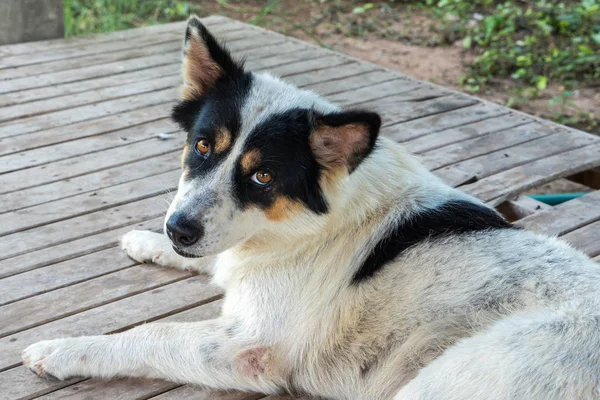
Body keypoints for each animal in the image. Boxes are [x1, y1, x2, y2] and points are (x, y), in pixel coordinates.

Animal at [23, 16, 600, 400]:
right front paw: (146, 240)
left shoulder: (246, 346)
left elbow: (149, 334)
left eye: (262, 176)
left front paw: (62, 349)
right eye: (203, 146)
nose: (178, 229)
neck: (307, 225)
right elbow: (214, 259)